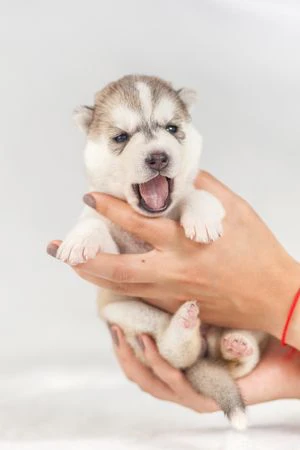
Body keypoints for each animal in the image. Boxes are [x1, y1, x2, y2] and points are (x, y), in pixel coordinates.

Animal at [56, 75, 268, 430]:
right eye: (121, 137)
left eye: (172, 129)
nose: (158, 158)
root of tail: (208, 345)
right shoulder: (111, 238)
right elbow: (93, 221)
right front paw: (80, 240)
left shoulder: (203, 193)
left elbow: (197, 196)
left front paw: (201, 220)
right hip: (124, 314)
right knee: (175, 354)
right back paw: (185, 326)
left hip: (248, 309)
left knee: (242, 360)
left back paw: (238, 345)